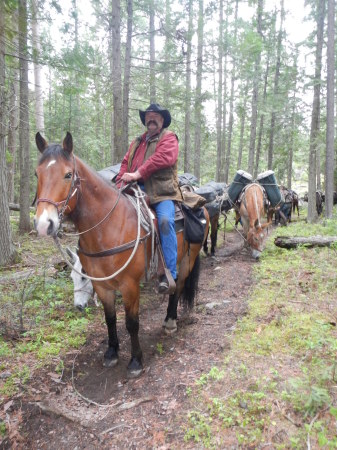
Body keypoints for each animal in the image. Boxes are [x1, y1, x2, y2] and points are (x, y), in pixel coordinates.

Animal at [33, 132, 207, 378]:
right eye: (36, 173)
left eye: (68, 174)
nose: (43, 224)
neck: (107, 227)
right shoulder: (102, 286)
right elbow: (110, 319)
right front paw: (111, 352)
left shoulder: (129, 285)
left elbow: (132, 323)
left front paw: (135, 360)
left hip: (187, 260)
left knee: (179, 286)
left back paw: (170, 321)